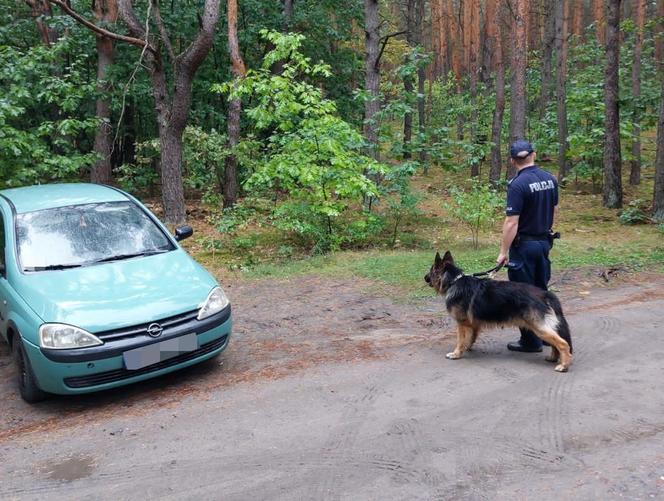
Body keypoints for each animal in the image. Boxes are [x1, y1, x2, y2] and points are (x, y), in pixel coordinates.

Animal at [428, 250, 572, 372]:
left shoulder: (462, 324)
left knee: (563, 344)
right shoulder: (473, 324)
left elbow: (460, 340)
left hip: (539, 328)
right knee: (556, 343)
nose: (425, 277)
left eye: (431, 270)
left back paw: (564, 365)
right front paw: (467, 348)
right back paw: (553, 358)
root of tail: (543, 293)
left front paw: (456, 353)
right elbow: (471, 338)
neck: (454, 281)